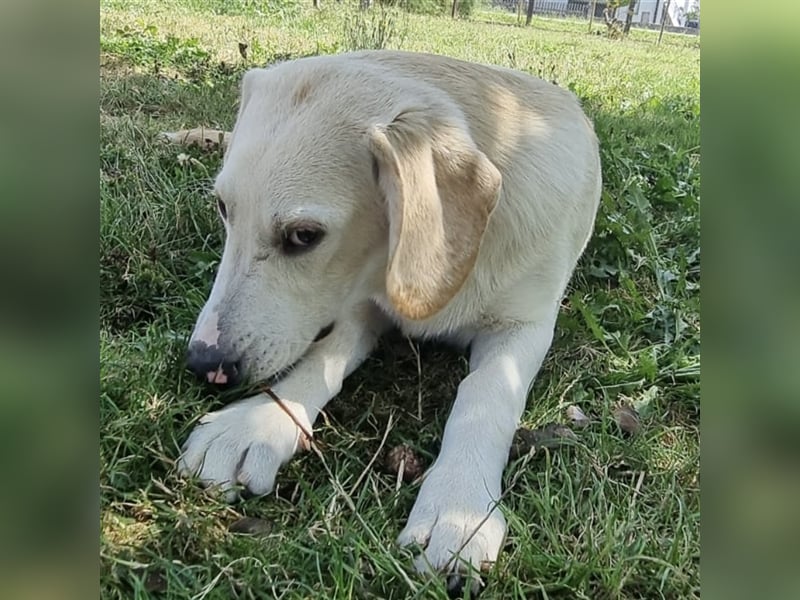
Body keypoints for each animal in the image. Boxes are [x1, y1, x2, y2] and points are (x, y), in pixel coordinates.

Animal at [173, 49, 600, 592]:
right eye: (223, 208)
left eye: (304, 236)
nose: (202, 364)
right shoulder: (362, 304)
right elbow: (324, 356)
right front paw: (258, 423)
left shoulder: (525, 326)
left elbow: (485, 394)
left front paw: (457, 505)